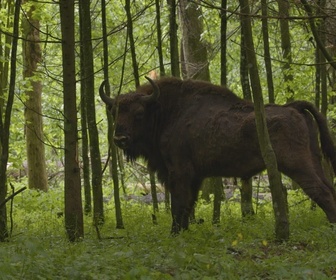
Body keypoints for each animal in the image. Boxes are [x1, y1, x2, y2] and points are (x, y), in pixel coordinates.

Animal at [100, 76, 336, 234]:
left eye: (139, 113)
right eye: (115, 112)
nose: (120, 138)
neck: (166, 112)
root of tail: (293, 107)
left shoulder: (179, 172)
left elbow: (179, 203)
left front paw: (175, 233)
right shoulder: (195, 177)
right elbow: (189, 204)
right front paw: (184, 231)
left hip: (297, 165)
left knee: (321, 191)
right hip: (314, 159)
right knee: (330, 188)